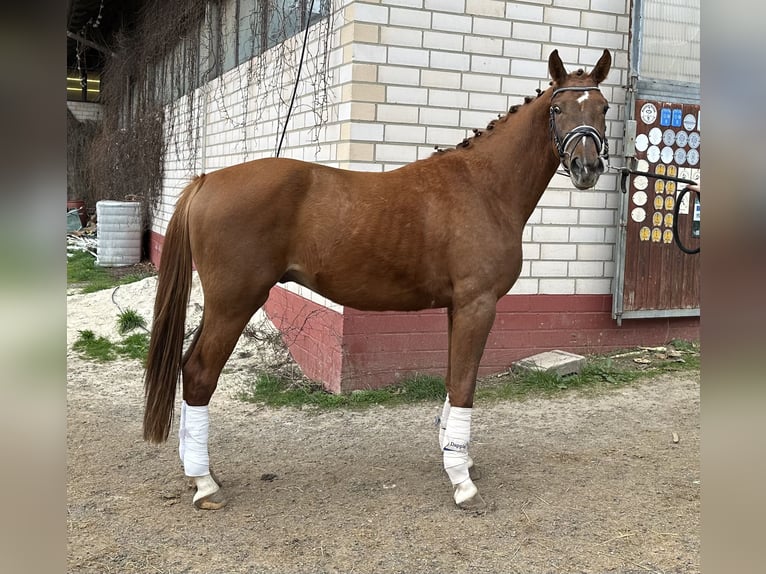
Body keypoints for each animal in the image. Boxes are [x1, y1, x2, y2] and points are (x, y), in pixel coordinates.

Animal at [142, 50, 612, 512]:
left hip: (222, 305)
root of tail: (206, 181)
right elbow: (464, 385)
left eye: (603, 107)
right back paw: (205, 484)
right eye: (557, 109)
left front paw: (456, 459)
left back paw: (197, 469)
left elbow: (452, 379)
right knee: (199, 373)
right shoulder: (478, 304)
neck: (483, 186)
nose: (587, 167)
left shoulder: (457, 307)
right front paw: (462, 483)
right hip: (235, 302)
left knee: (188, 365)